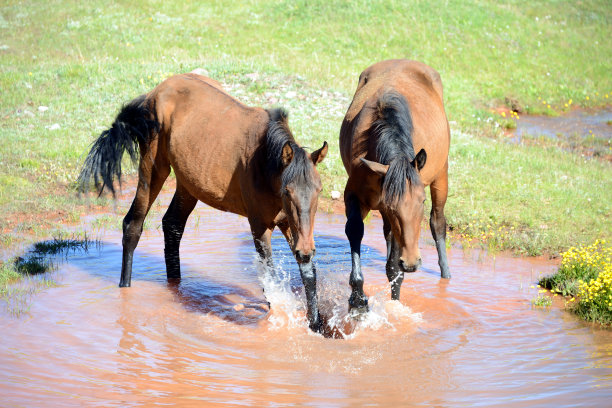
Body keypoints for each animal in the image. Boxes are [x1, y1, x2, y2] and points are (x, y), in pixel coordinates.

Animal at [79, 72, 328, 332]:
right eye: (287, 192)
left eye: (318, 190)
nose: (306, 250)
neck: (263, 161)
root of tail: (153, 94)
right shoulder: (260, 227)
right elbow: (270, 278)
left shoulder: (292, 226)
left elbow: (308, 272)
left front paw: (317, 325)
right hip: (153, 169)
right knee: (133, 224)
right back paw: (125, 288)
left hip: (188, 184)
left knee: (172, 225)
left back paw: (176, 287)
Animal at [340, 59, 450, 312]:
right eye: (393, 205)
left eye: (421, 201)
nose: (412, 263)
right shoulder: (355, 196)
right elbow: (355, 230)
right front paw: (358, 301)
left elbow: (394, 268)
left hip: (441, 176)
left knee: (438, 223)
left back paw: (446, 276)